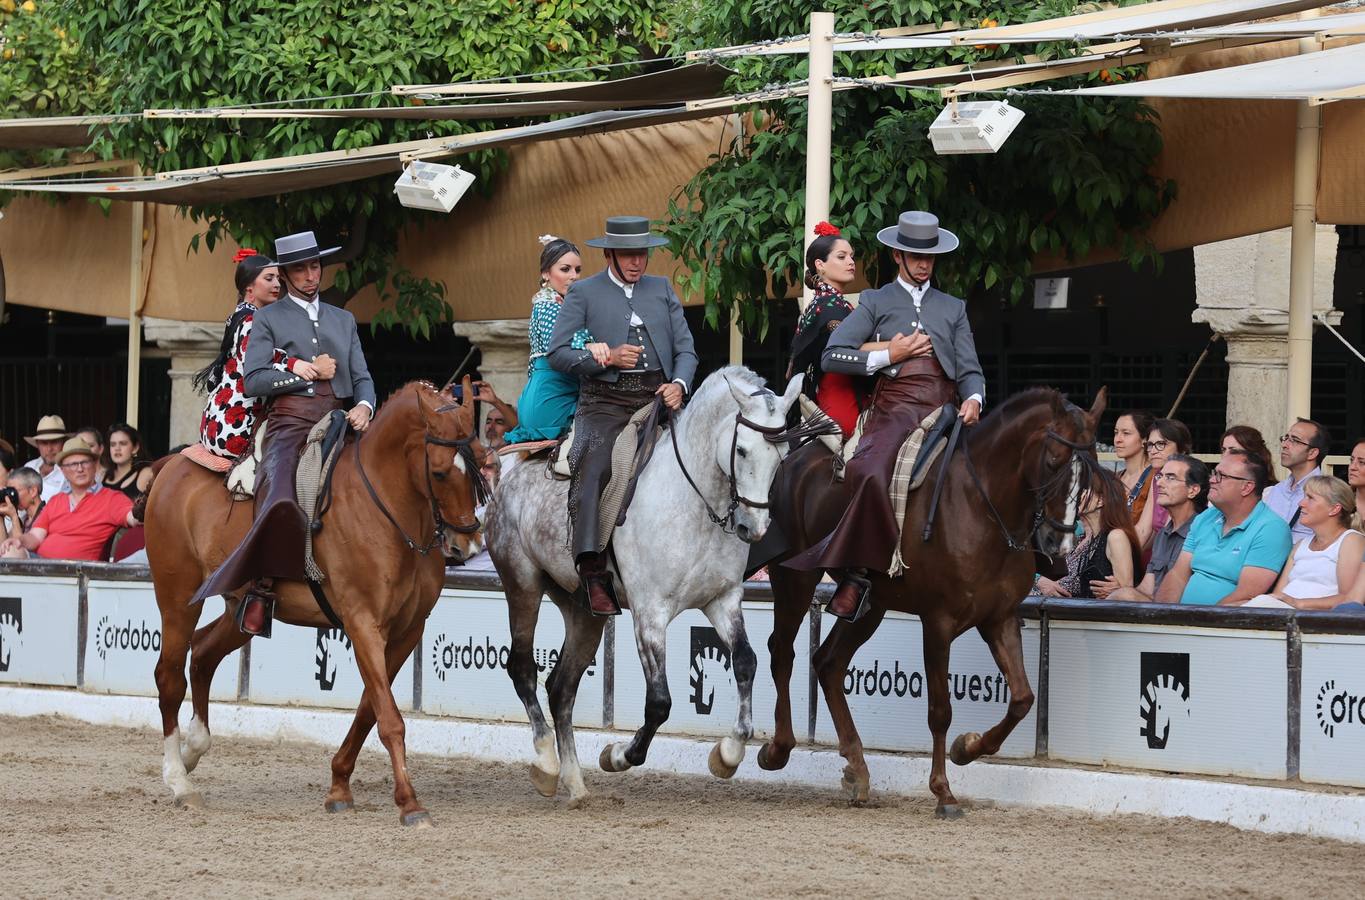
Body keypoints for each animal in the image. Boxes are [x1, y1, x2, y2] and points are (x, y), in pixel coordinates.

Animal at [142, 376, 485, 824]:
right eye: (441, 472)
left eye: (480, 462)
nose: (467, 543)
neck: (387, 509)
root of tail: (171, 465)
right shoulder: (363, 623)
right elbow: (389, 718)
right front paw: (410, 802)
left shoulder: (408, 631)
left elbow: (370, 709)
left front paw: (339, 785)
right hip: (178, 598)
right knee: (169, 677)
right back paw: (179, 780)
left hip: (241, 610)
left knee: (202, 654)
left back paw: (192, 749)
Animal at [488, 368, 802, 808]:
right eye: (741, 451)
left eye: (782, 455)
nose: (752, 528)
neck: (693, 500)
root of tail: (512, 471)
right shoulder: (650, 612)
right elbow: (659, 702)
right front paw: (618, 754)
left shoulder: (722, 600)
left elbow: (745, 662)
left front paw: (728, 753)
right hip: (522, 585)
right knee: (522, 670)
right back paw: (547, 763)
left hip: (584, 611)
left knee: (561, 688)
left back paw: (575, 782)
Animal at [758, 387, 1108, 819]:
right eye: (1052, 461)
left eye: (1090, 471)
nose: (1059, 544)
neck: (982, 504)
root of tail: (796, 459)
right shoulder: (938, 622)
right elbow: (940, 711)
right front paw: (943, 791)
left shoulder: (999, 618)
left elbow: (1023, 699)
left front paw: (967, 748)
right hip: (794, 578)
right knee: (782, 651)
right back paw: (778, 749)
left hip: (870, 606)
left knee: (828, 663)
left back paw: (857, 768)